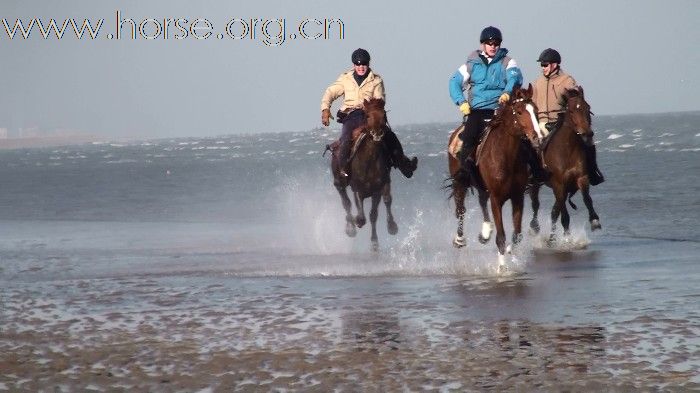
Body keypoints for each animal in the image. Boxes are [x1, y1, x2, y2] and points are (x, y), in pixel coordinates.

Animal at [330, 98, 396, 251]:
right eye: (367, 115)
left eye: (384, 115)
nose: (377, 133)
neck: (369, 161)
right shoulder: (357, 190)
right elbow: (360, 216)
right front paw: (356, 222)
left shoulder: (378, 189)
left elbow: (374, 214)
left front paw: (376, 241)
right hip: (339, 182)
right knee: (346, 203)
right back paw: (350, 228)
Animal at [448, 85, 540, 270]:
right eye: (520, 112)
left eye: (535, 110)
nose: (536, 136)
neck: (505, 157)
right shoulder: (496, 199)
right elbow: (501, 236)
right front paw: (502, 268)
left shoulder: (518, 197)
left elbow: (517, 234)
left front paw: (511, 253)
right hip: (459, 182)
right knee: (461, 209)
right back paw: (460, 239)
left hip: (481, 186)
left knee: (482, 200)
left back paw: (485, 232)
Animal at [532, 86, 600, 242]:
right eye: (572, 111)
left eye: (587, 108)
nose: (587, 133)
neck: (567, 149)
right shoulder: (559, 184)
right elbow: (564, 214)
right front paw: (567, 237)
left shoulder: (581, 178)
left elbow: (587, 199)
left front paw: (594, 220)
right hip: (536, 184)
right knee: (536, 205)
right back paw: (535, 226)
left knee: (553, 212)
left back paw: (551, 239)